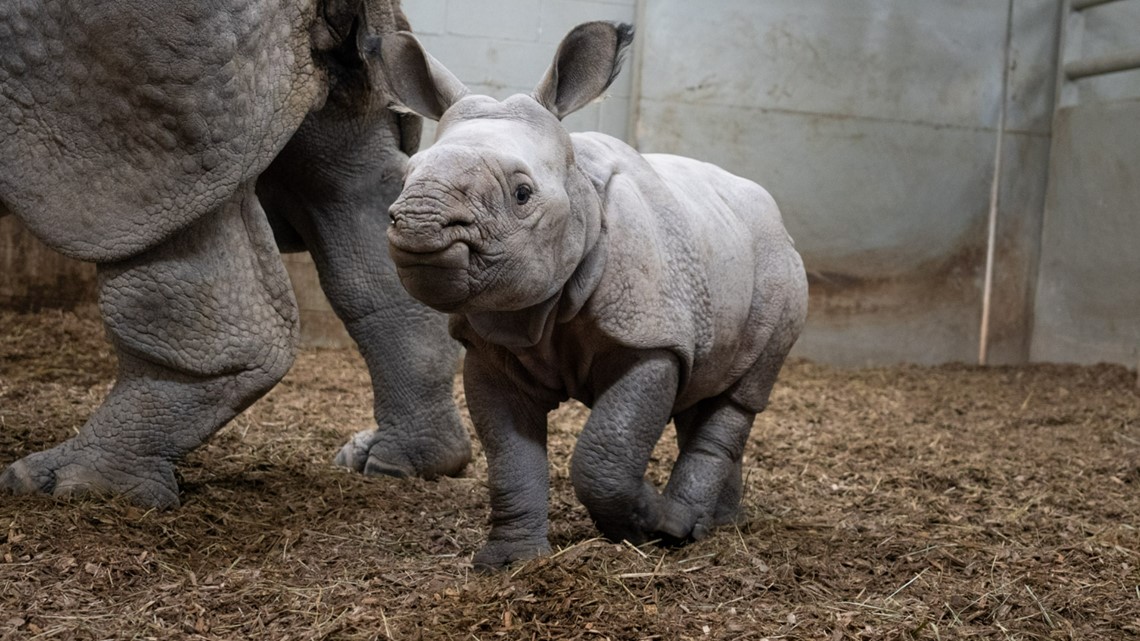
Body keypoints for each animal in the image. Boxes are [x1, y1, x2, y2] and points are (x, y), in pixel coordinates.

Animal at [378, 21, 807, 568]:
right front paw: (512, 560)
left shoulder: (651, 337)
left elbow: (606, 454)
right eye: (405, 176)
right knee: (706, 390)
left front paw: (652, 524)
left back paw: (689, 524)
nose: (418, 223)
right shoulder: (492, 345)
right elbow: (509, 456)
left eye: (522, 194)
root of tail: (775, 216)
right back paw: (720, 525)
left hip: (781, 267)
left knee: (740, 396)